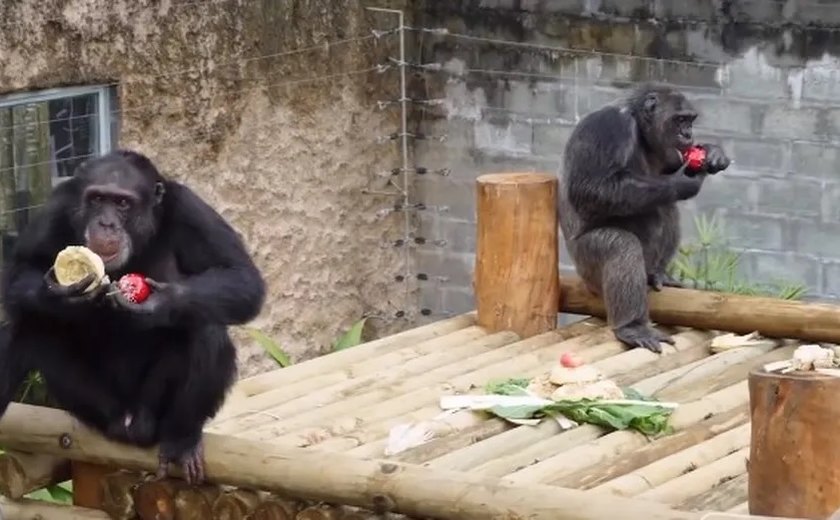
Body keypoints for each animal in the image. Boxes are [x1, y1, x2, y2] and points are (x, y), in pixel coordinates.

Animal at [0, 149, 266, 484]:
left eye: (123, 203)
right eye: (97, 199)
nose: (106, 222)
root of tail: (128, 425)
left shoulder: (190, 210)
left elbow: (241, 277)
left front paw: (159, 303)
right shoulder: (56, 208)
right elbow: (19, 270)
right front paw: (59, 295)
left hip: (150, 413)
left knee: (206, 326)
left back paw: (183, 440)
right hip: (93, 407)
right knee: (28, 323)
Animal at [560, 84, 732, 354]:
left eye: (690, 120)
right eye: (679, 119)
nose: (688, 133)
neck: (639, 128)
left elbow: (669, 166)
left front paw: (713, 152)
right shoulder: (608, 127)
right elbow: (592, 188)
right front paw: (683, 181)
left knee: (666, 205)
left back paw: (658, 274)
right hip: (586, 265)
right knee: (621, 246)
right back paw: (631, 327)